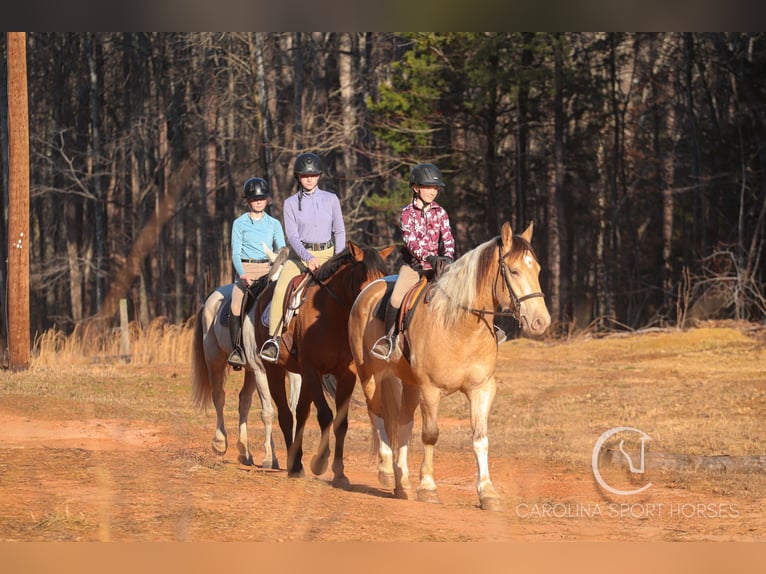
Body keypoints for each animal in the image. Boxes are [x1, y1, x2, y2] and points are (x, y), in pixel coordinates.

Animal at [190, 256, 302, 472]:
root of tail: (210, 299)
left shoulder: (293, 374)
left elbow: (292, 411)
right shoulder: (261, 371)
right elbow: (268, 412)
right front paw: (268, 458)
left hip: (250, 372)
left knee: (244, 401)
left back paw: (245, 452)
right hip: (215, 361)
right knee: (219, 397)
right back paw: (220, 443)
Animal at [254, 242, 396, 486]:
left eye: (384, 277)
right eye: (363, 277)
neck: (332, 315)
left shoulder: (346, 374)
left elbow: (341, 422)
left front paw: (339, 473)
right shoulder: (312, 370)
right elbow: (325, 415)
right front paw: (320, 462)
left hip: (302, 376)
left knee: (300, 413)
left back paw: (297, 461)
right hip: (275, 371)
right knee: (286, 415)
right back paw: (294, 465)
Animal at [348, 223, 552, 510]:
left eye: (538, 270)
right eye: (513, 271)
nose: (540, 321)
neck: (462, 327)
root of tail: (368, 290)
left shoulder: (482, 389)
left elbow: (480, 438)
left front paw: (487, 492)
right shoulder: (430, 389)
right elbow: (430, 435)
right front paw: (428, 487)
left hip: (409, 385)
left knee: (403, 423)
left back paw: (403, 482)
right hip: (370, 377)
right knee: (376, 415)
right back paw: (387, 471)